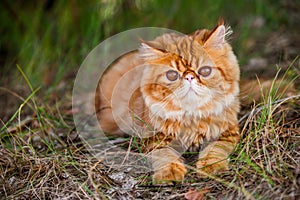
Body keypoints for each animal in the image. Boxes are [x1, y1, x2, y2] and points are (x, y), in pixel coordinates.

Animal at [95, 19, 240, 183]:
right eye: (172, 75)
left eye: (205, 71)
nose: (189, 77)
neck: (191, 116)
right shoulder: (155, 139)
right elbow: (165, 156)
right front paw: (169, 173)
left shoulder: (227, 132)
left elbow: (214, 150)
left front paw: (211, 166)